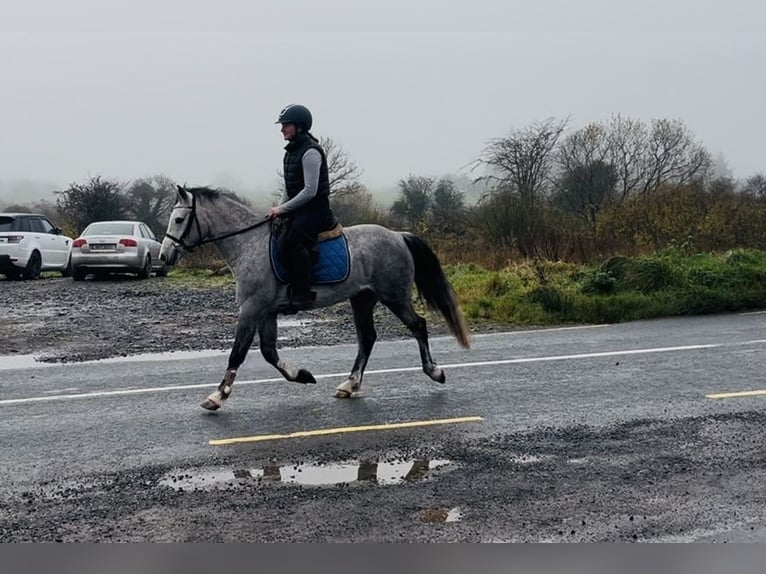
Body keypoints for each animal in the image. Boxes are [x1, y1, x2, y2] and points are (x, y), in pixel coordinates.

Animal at [159, 185, 470, 411]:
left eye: (179, 219)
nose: (163, 256)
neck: (249, 244)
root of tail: (398, 235)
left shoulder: (251, 308)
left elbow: (238, 352)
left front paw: (217, 395)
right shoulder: (265, 312)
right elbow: (269, 353)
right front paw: (302, 375)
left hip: (394, 296)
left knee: (418, 326)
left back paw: (434, 371)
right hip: (363, 299)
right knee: (367, 338)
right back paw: (349, 384)